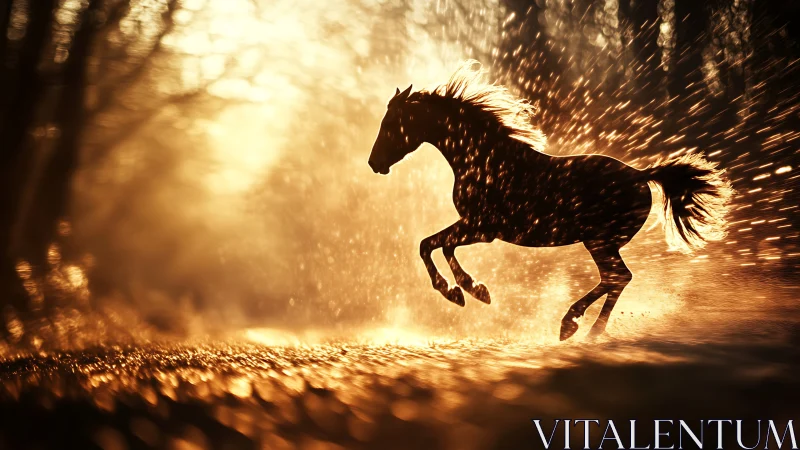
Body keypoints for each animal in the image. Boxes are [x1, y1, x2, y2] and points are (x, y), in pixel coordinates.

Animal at [367, 61, 733, 341]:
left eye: (392, 123)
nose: (374, 163)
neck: (485, 159)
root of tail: (640, 175)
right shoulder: (478, 229)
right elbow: (440, 247)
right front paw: (471, 290)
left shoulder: (482, 228)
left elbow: (429, 245)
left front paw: (461, 290)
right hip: (602, 242)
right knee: (616, 278)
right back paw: (581, 327)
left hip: (599, 241)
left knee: (618, 277)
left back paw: (577, 326)